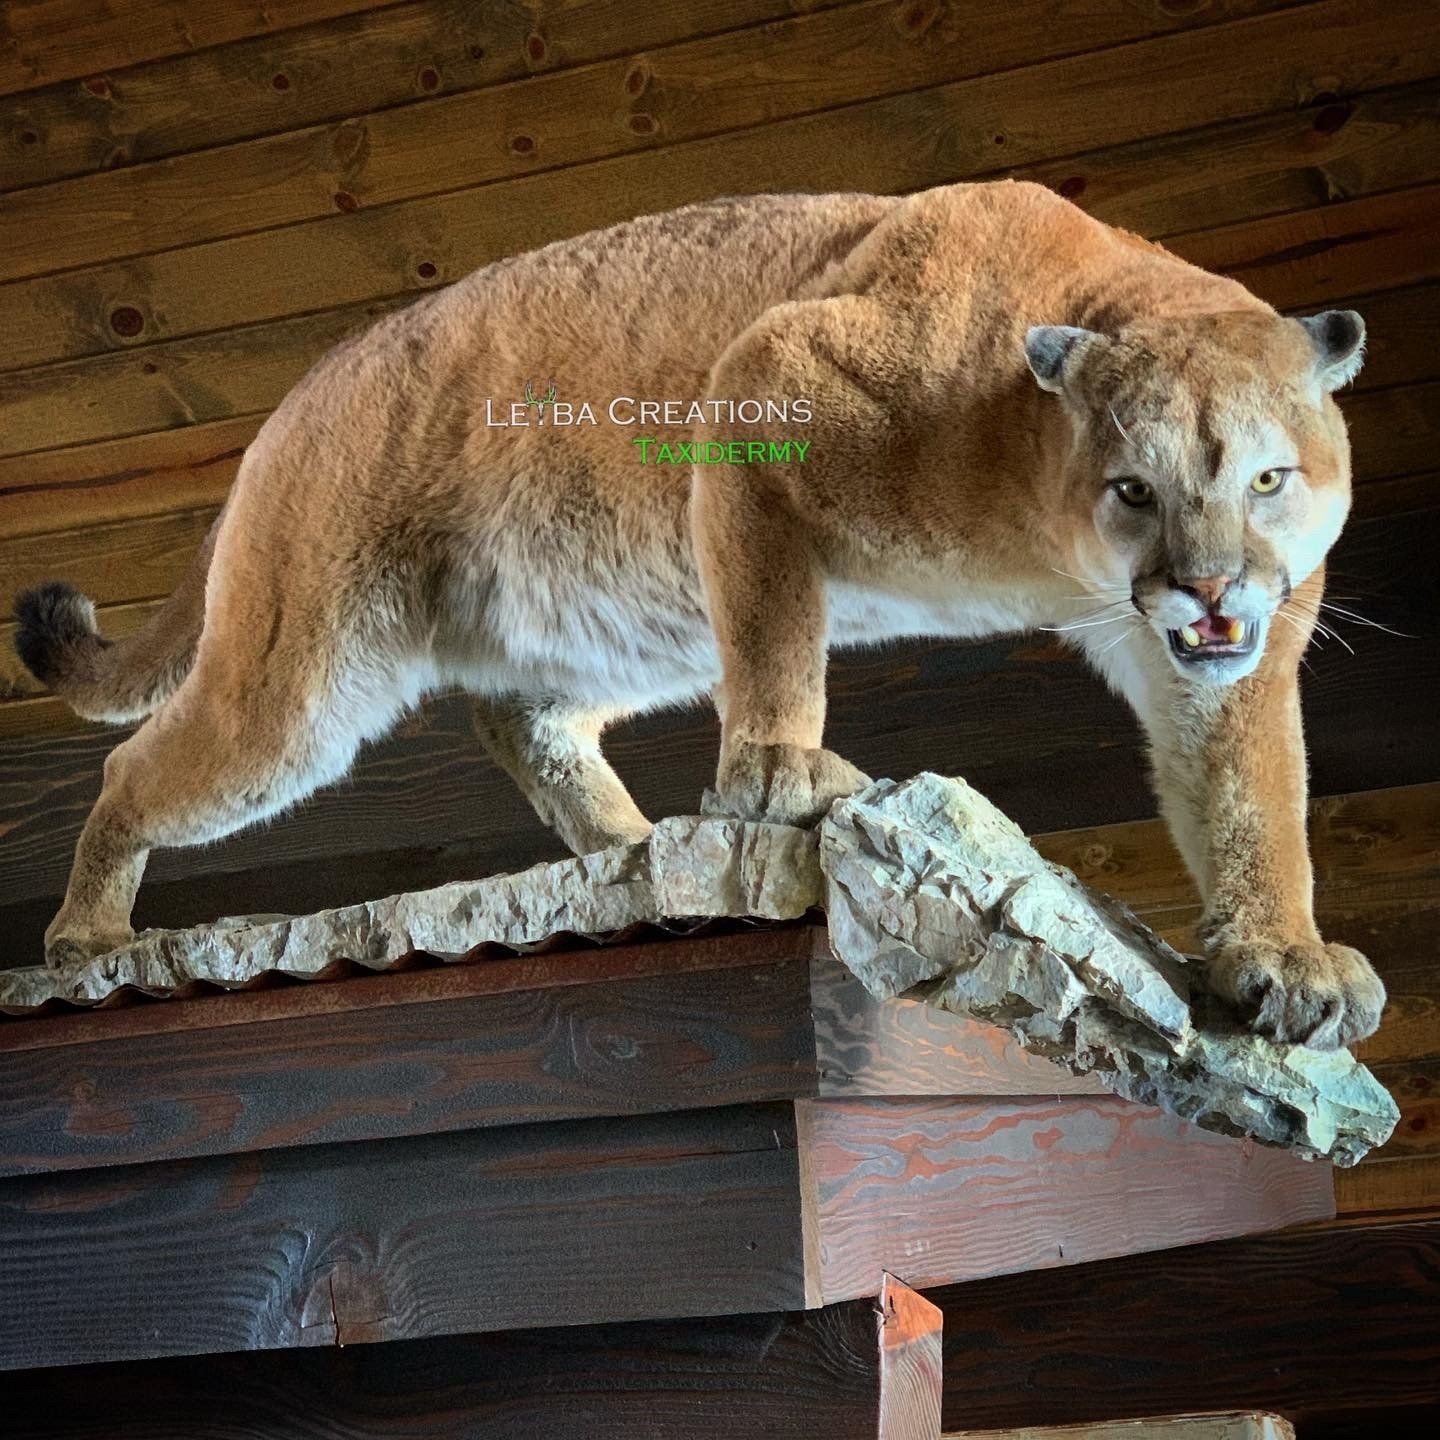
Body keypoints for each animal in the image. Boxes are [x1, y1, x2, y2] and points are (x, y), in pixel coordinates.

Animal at [14, 180, 1383, 1047]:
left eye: (1269, 479)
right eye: (1134, 488)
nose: (1209, 589)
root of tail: (292, 401)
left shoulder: (1228, 657)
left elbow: (1253, 793)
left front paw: (1284, 959)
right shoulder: (761, 389)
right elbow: (779, 635)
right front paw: (781, 775)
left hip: (614, 615)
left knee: (525, 724)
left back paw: (626, 855)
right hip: (305, 672)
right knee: (144, 766)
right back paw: (84, 941)